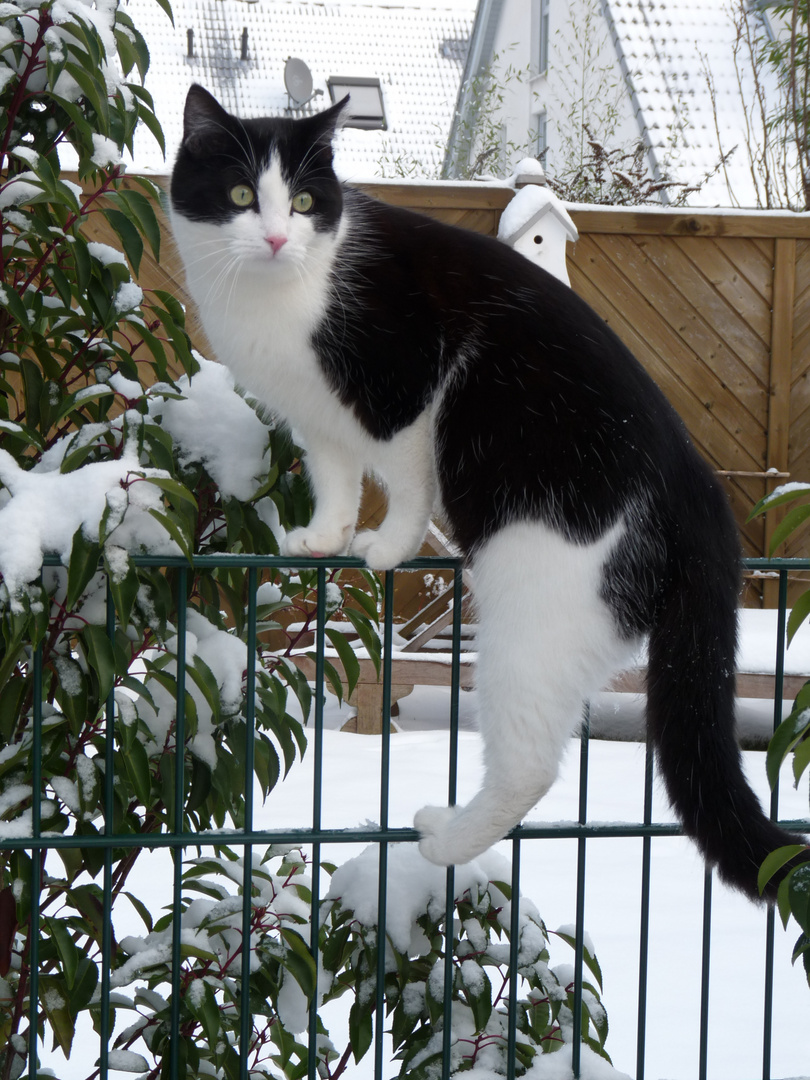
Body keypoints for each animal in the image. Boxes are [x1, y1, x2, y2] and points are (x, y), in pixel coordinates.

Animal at [169, 84, 807, 898]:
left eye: (307, 201)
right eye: (242, 196)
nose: (280, 238)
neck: (282, 296)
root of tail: (700, 489)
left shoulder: (408, 391)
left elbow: (405, 477)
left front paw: (387, 546)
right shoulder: (319, 418)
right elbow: (337, 473)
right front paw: (325, 535)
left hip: (533, 609)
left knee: (532, 765)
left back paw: (444, 839)